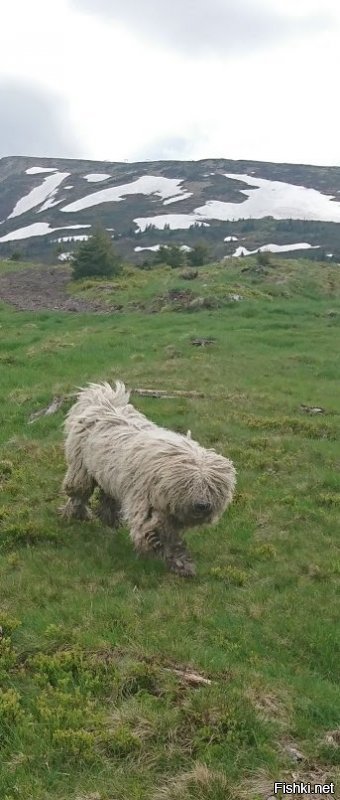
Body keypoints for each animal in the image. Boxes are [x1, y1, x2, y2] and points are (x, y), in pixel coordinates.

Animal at [61, 382, 236, 576]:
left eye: (212, 487)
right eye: (188, 484)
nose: (202, 505)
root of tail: (101, 399)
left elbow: (171, 539)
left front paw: (181, 564)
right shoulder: (146, 502)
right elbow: (155, 532)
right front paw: (167, 555)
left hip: (109, 475)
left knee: (108, 498)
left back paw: (110, 519)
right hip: (81, 469)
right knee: (79, 493)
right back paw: (78, 514)